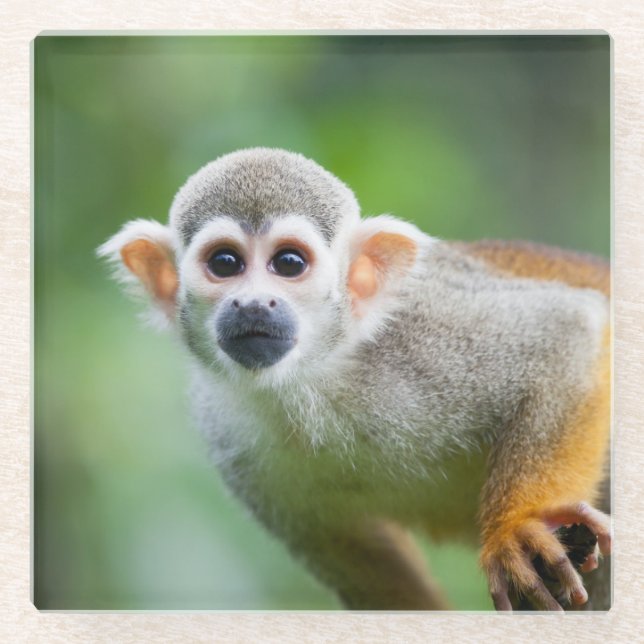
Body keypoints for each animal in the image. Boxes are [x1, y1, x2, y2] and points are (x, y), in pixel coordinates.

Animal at [98, 147, 611, 611]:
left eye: (288, 263)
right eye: (225, 263)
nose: (253, 304)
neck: (314, 376)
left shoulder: (427, 334)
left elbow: (566, 332)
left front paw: (518, 527)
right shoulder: (227, 432)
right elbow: (362, 561)